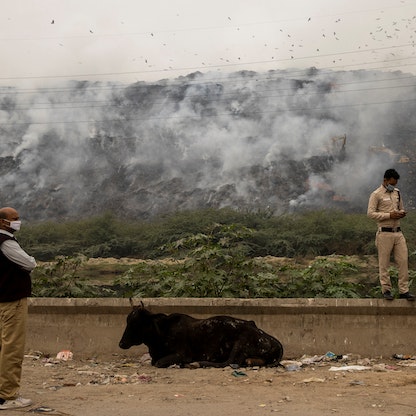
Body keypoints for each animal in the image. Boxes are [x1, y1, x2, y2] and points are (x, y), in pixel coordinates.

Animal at [118, 302, 284, 368]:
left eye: (136, 323)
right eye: (127, 321)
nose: (121, 343)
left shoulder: (182, 355)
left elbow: (158, 363)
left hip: (240, 343)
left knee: (228, 362)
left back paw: (197, 364)